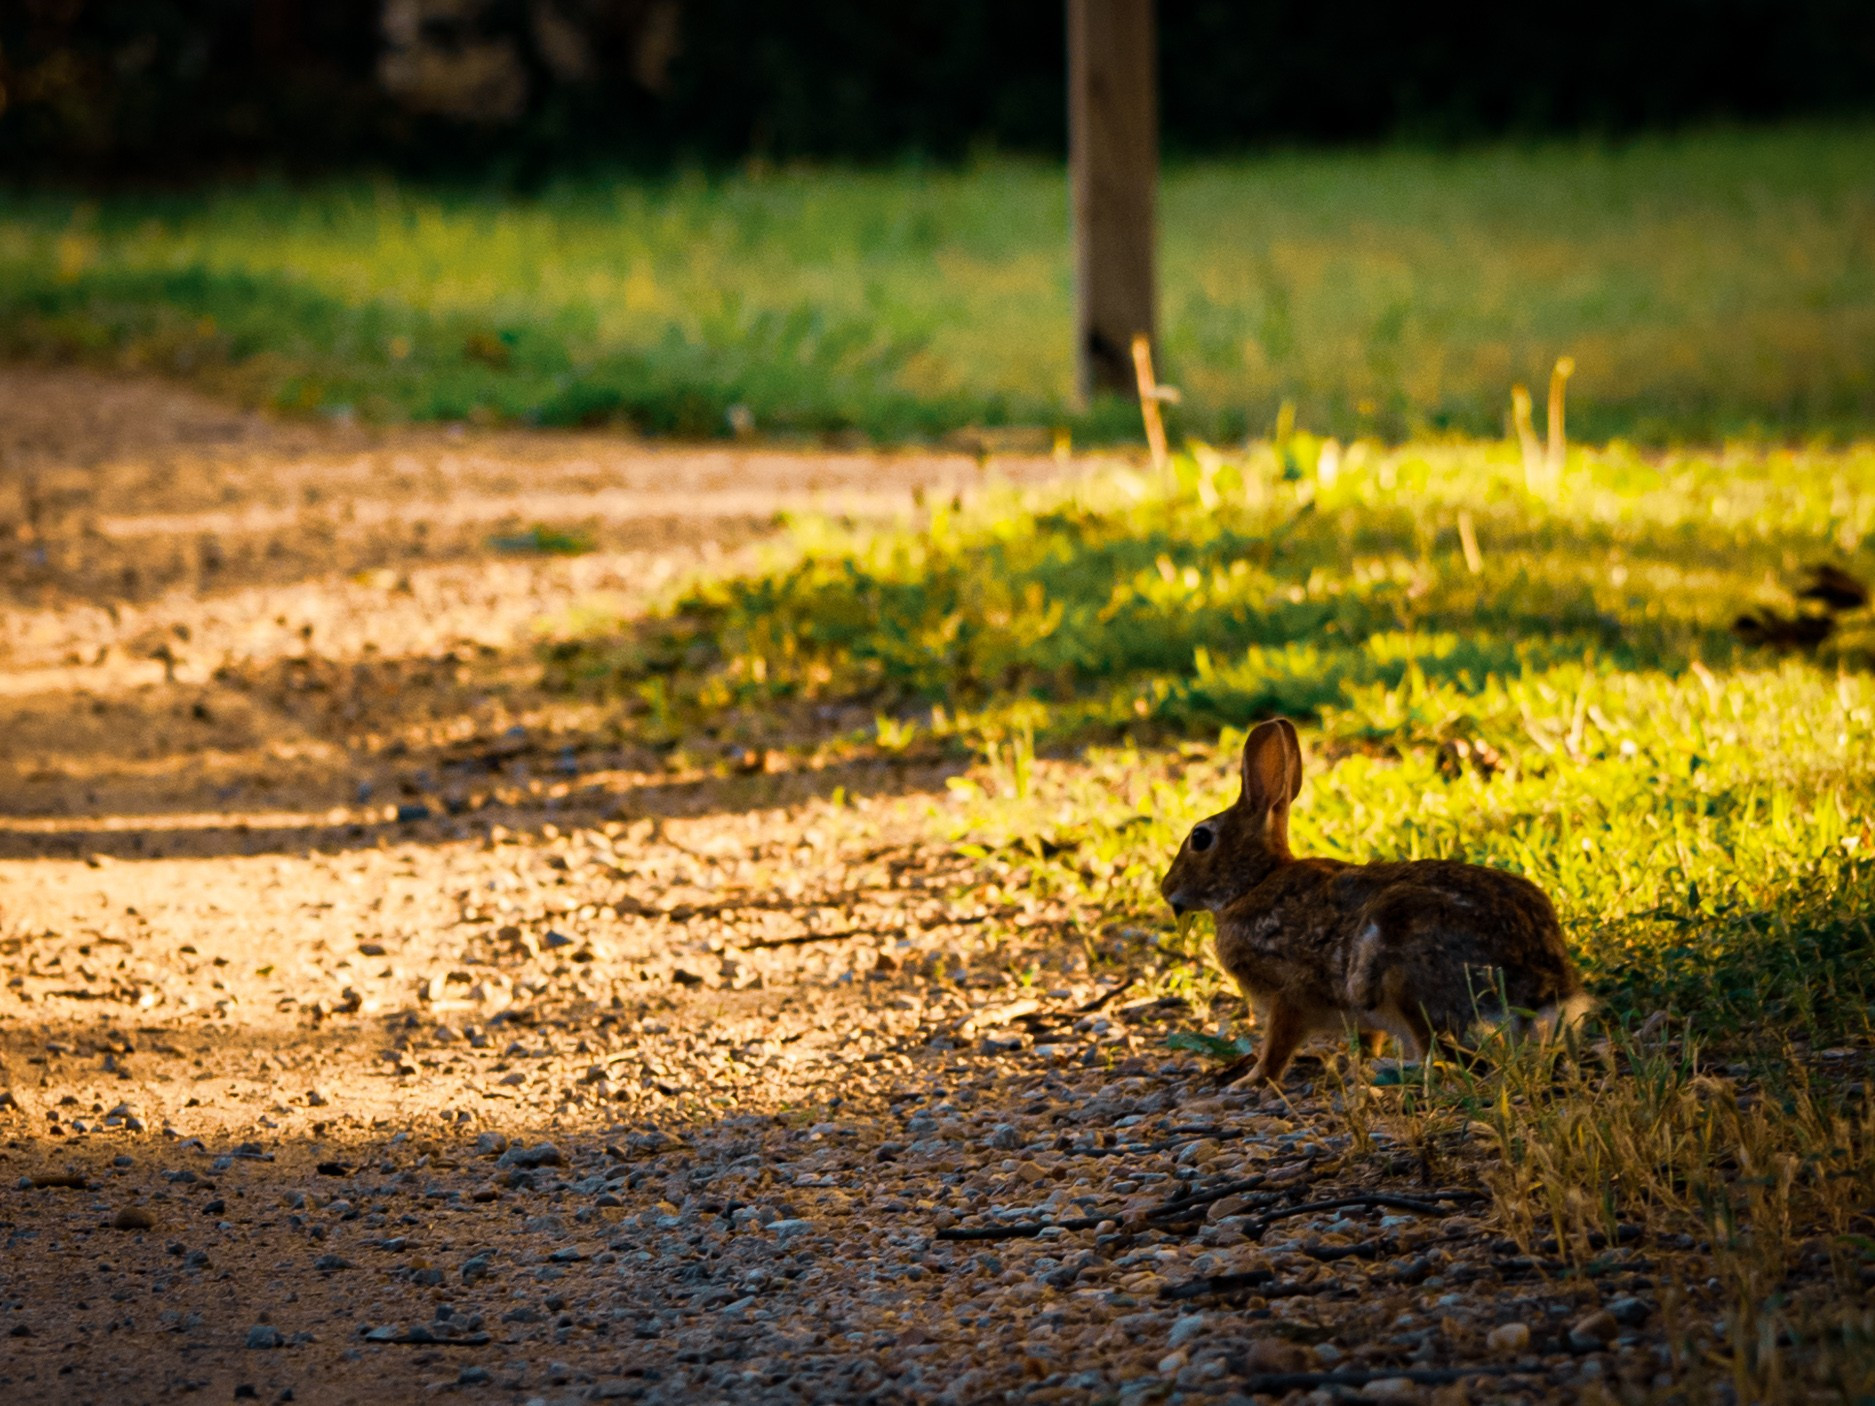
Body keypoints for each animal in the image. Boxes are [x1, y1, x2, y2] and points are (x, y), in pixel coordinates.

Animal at [1155, 719, 1582, 1087]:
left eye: (1200, 838)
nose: (1166, 888)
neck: (1254, 882)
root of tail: (1544, 979)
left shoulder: (1288, 993)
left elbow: (1277, 1046)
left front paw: (1251, 1081)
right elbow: (1366, 1038)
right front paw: (1356, 1064)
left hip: (1400, 976)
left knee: (1441, 1054)